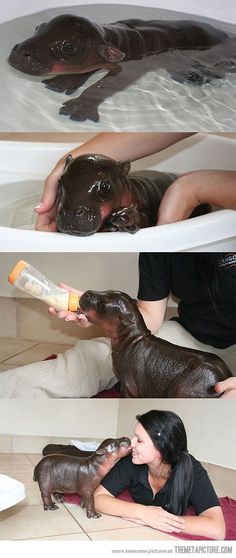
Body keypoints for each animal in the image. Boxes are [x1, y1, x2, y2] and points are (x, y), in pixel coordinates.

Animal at [7, 13, 234, 122]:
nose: (19, 53)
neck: (113, 37)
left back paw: (197, 77)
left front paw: (78, 108)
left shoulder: (130, 68)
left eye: (68, 47)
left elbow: (104, 86)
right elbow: (87, 70)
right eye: (38, 27)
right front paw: (63, 82)